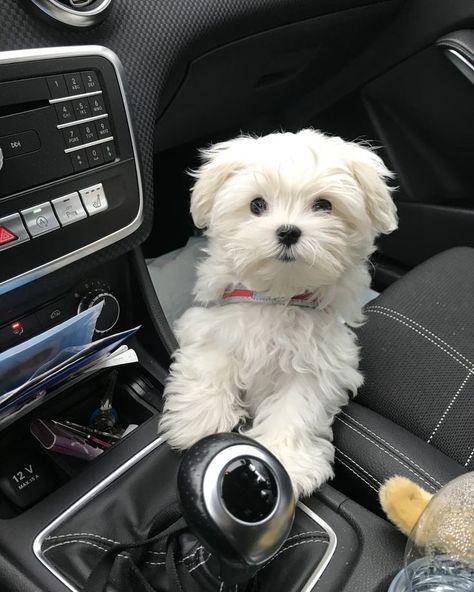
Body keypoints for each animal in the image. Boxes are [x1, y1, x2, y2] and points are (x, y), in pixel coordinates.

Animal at [161, 131, 398, 500]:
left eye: (324, 205)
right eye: (256, 205)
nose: (288, 231)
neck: (278, 295)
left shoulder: (320, 363)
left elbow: (297, 407)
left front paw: (287, 460)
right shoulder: (214, 322)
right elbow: (211, 362)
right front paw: (200, 420)